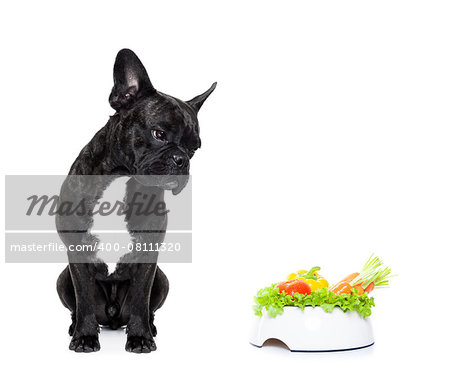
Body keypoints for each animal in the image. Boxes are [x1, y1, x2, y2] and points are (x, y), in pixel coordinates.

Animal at [55, 48, 214, 354]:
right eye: (159, 134)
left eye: (194, 148)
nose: (182, 159)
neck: (121, 175)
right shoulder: (77, 254)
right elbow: (84, 301)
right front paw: (84, 337)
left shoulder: (148, 255)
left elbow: (141, 298)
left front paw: (140, 338)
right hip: (62, 279)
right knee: (77, 306)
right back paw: (74, 327)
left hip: (162, 280)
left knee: (147, 307)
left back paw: (149, 328)